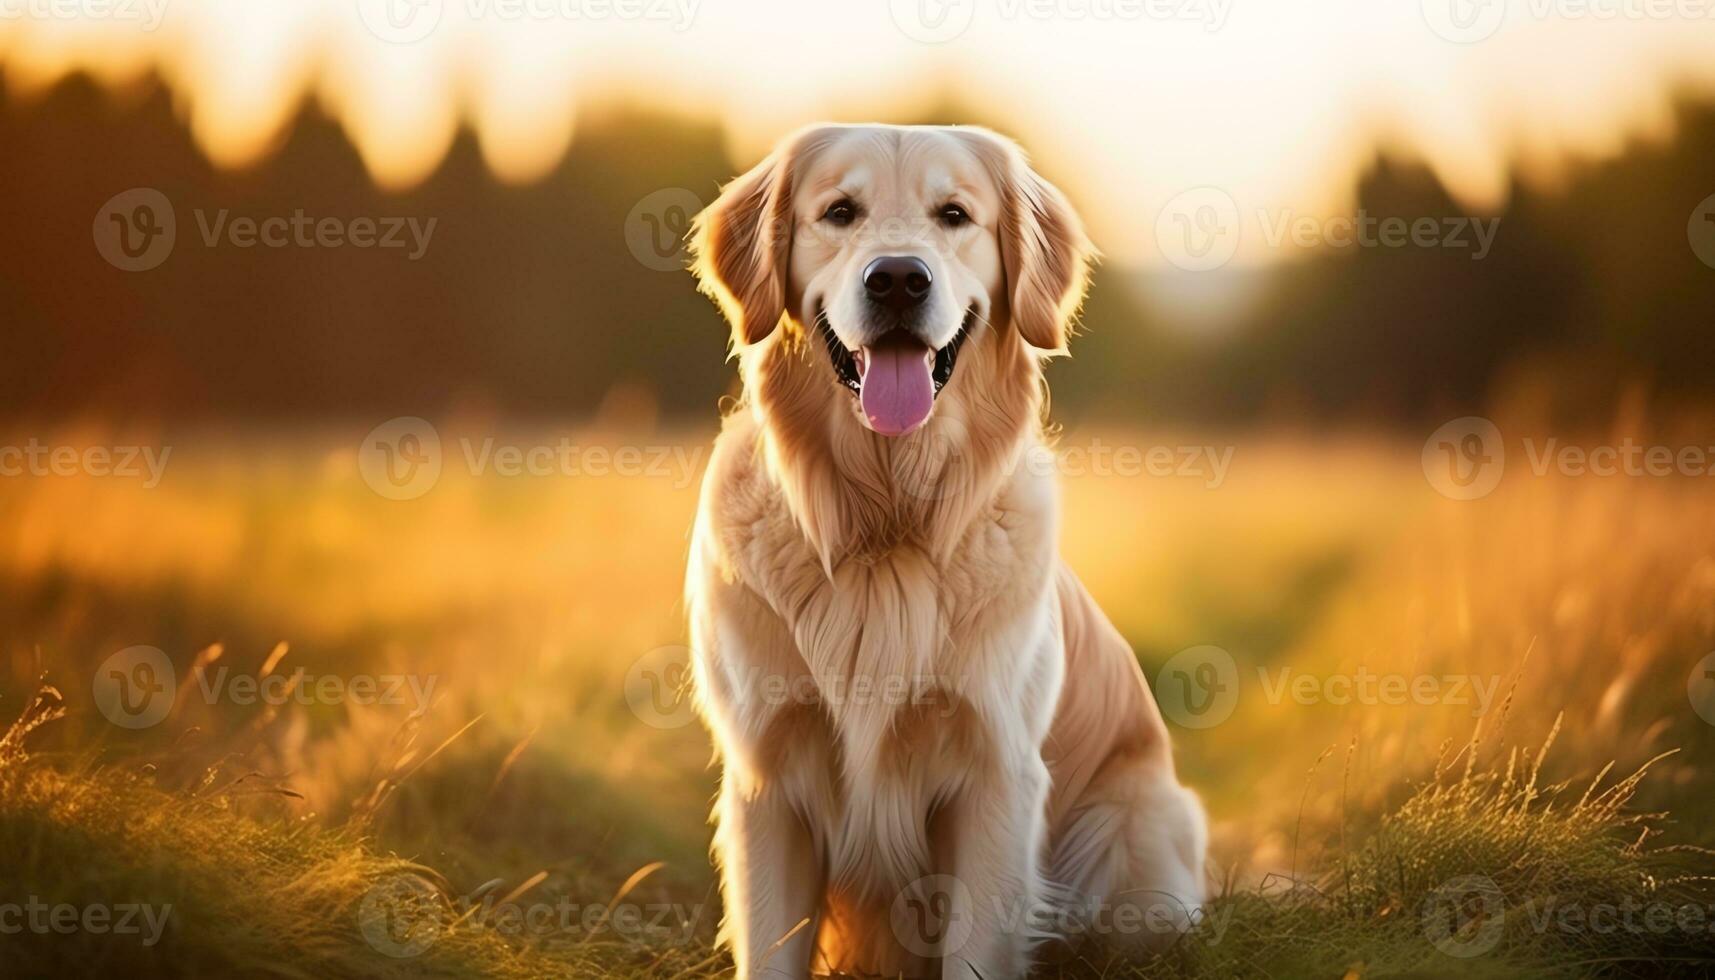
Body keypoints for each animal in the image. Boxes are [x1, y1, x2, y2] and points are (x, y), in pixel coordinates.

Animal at [682, 126, 1207, 974]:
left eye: (954, 214)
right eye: (839, 211)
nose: (898, 279)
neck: (886, 526)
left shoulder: (994, 773)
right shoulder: (766, 776)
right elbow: (772, 948)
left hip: (1136, 848)